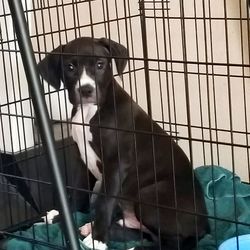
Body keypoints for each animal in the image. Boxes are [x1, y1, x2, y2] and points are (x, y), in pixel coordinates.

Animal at [37, 37, 209, 250]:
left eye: (100, 64)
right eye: (70, 67)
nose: (86, 90)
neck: (89, 112)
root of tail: (205, 225)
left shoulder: (117, 164)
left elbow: (104, 202)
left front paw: (98, 240)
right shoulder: (81, 159)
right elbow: (77, 191)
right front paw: (62, 217)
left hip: (150, 195)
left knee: (172, 243)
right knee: (144, 233)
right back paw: (92, 228)